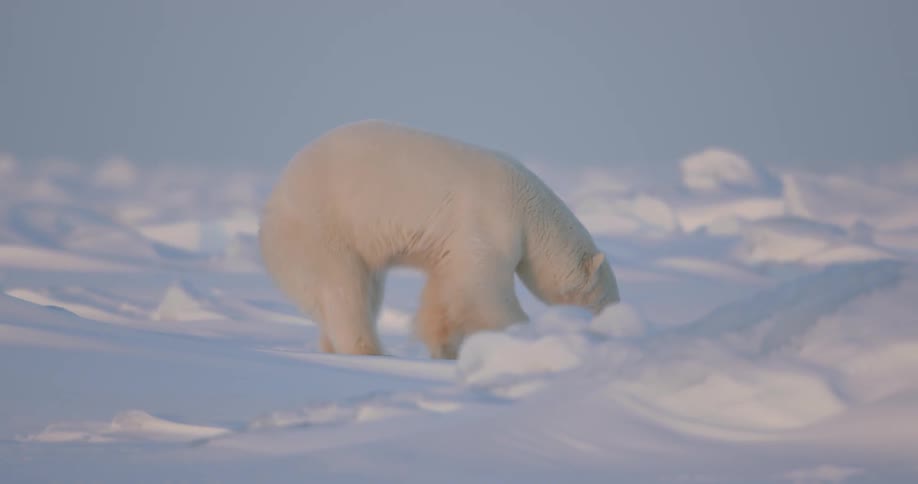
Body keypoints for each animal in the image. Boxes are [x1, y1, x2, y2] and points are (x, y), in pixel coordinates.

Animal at [258, 120, 620, 359]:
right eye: (606, 297)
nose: (616, 321)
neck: (529, 209)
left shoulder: (451, 244)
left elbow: (445, 290)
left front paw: (444, 347)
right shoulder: (489, 221)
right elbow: (481, 287)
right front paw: (521, 334)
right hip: (324, 228)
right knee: (345, 289)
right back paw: (370, 352)